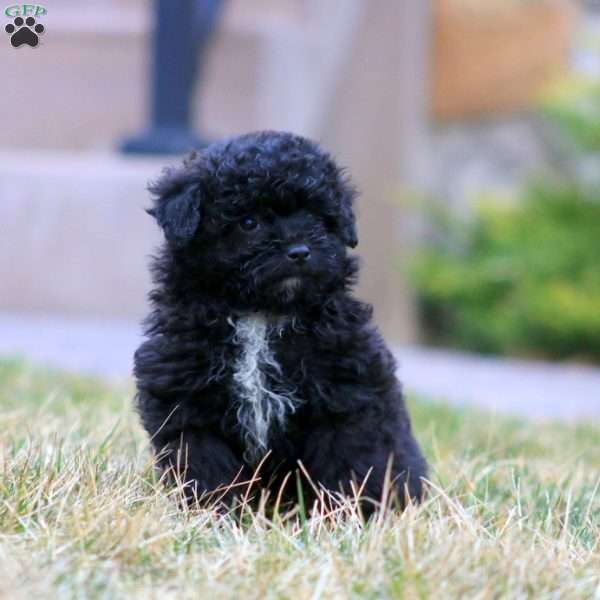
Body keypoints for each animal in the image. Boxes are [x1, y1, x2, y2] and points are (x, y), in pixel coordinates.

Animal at [136, 130, 426, 510]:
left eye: (317, 218)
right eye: (249, 222)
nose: (299, 251)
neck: (261, 314)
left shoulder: (347, 395)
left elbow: (351, 462)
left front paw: (353, 514)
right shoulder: (185, 400)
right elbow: (204, 463)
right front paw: (212, 512)